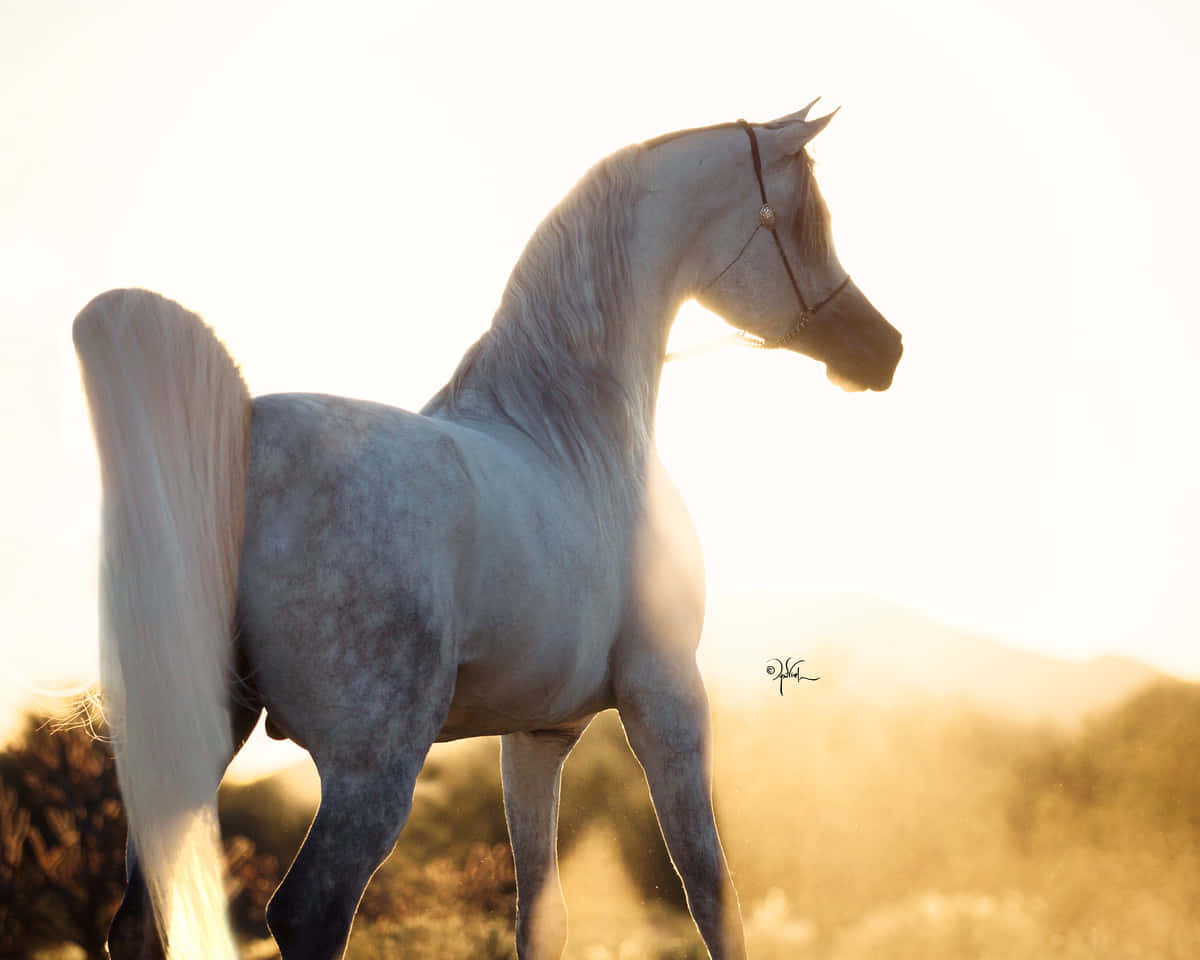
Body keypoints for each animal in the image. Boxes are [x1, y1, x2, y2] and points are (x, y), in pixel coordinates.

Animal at [73, 103, 902, 960]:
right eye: (805, 218)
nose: (883, 350)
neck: (574, 433)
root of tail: (242, 444)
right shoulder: (668, 696)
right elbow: (711, 891)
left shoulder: (538, 734)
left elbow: (542, 917)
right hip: (371, 771)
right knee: (307, 912)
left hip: (185, 747)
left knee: (138, 922)